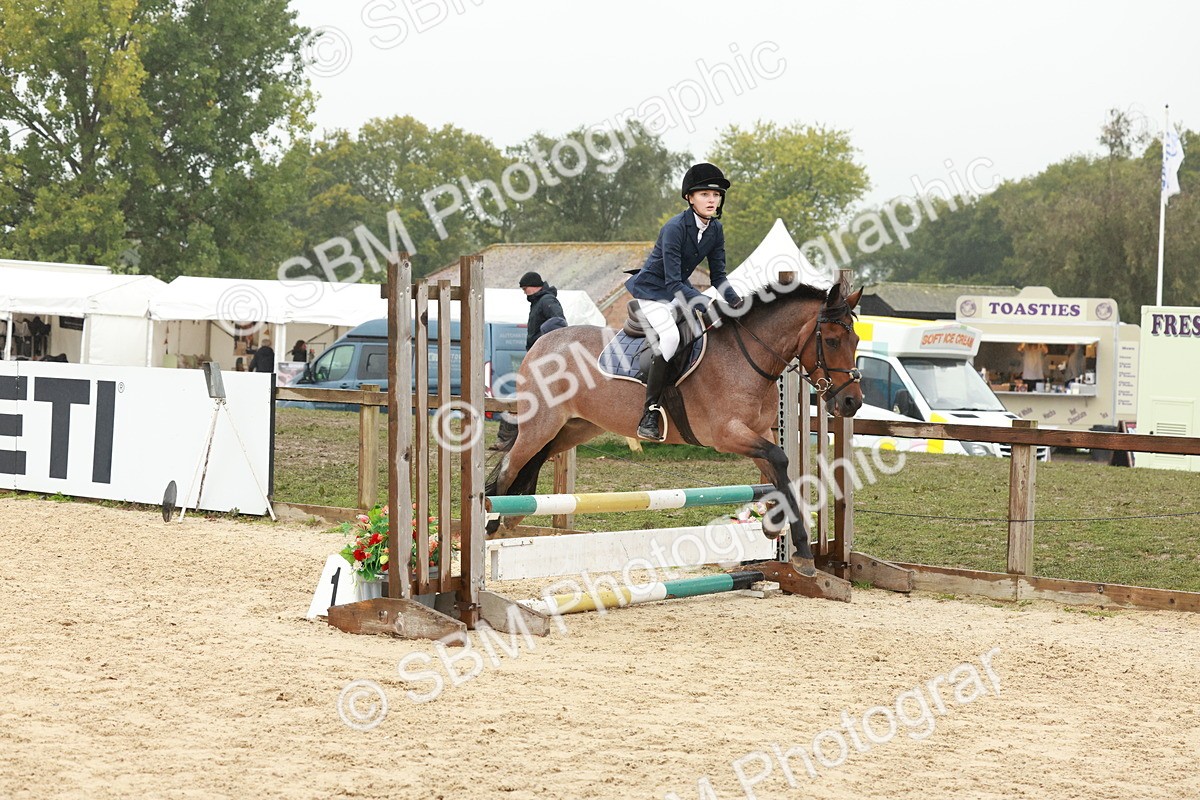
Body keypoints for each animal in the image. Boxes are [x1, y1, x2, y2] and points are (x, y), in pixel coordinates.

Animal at [485, 280, 864, 576]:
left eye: (857, 341)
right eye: (831, 341)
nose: (852, 403)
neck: (749, 358)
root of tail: (542, 343)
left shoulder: (758, 433)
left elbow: (778, 470)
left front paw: (777, 531)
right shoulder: (728, 435)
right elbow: (780, 461)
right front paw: (798, 549)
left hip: (574, 429)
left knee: (533, 461)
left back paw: (512, 518)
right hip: (540, 425)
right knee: (509, 467)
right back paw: (490, 525)